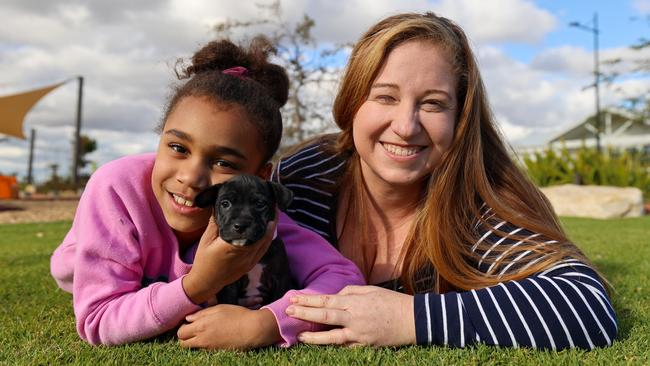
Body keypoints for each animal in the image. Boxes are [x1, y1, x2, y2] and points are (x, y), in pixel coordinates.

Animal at [192, 174, 294, 306]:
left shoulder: (280, 280)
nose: (241, 225)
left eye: (260, 204)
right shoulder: (228, 284)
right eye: (225, 204)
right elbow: (229, 304)